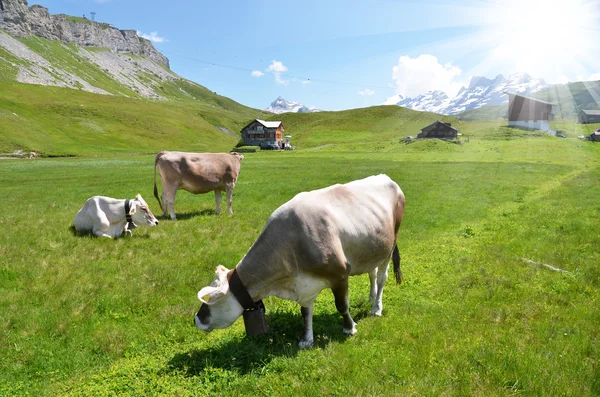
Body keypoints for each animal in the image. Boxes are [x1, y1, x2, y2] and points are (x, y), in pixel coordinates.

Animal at [195, 175, 406, 348]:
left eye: (211, 299)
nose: (197, 319)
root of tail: (387, 178)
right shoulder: (304, 285)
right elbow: (306, 312)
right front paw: (306, 340)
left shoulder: (339, 274)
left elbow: (342, 305)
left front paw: (349, 328)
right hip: (371, 249)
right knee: (372, 273)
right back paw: (371, 297)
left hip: (389, 246)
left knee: (382, 277)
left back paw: (376, 307)